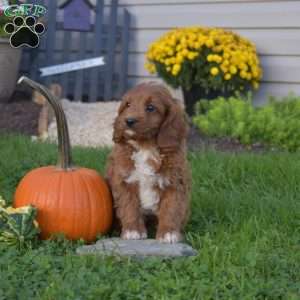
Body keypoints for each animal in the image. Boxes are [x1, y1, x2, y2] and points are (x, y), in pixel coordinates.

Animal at [106, 82, 190, 244]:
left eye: (151, 107)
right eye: (128, 105)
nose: (128, 121)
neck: (146, 146)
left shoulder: (174, 183)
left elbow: (171, 209)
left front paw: (168, 233)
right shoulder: (124, 181)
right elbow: (129, 206)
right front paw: (132, 231)